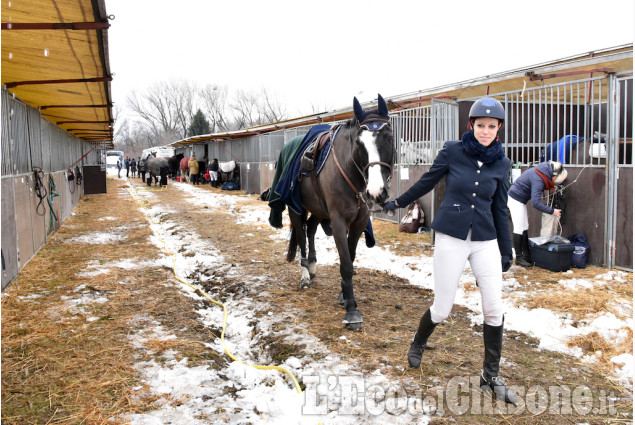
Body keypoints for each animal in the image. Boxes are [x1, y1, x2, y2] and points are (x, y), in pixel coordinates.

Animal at [286, 94, 396, 330]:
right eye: (359, 143)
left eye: (389, 138)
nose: (376, 191)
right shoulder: (337, 222)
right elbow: (345, 263)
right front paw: (352, 309)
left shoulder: (359, 222)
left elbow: (351, 258)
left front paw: (344, 294)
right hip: (295, 208)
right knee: (301, 236)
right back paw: (305, 276)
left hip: (318, 209)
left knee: (310, 229)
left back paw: (313, 266)